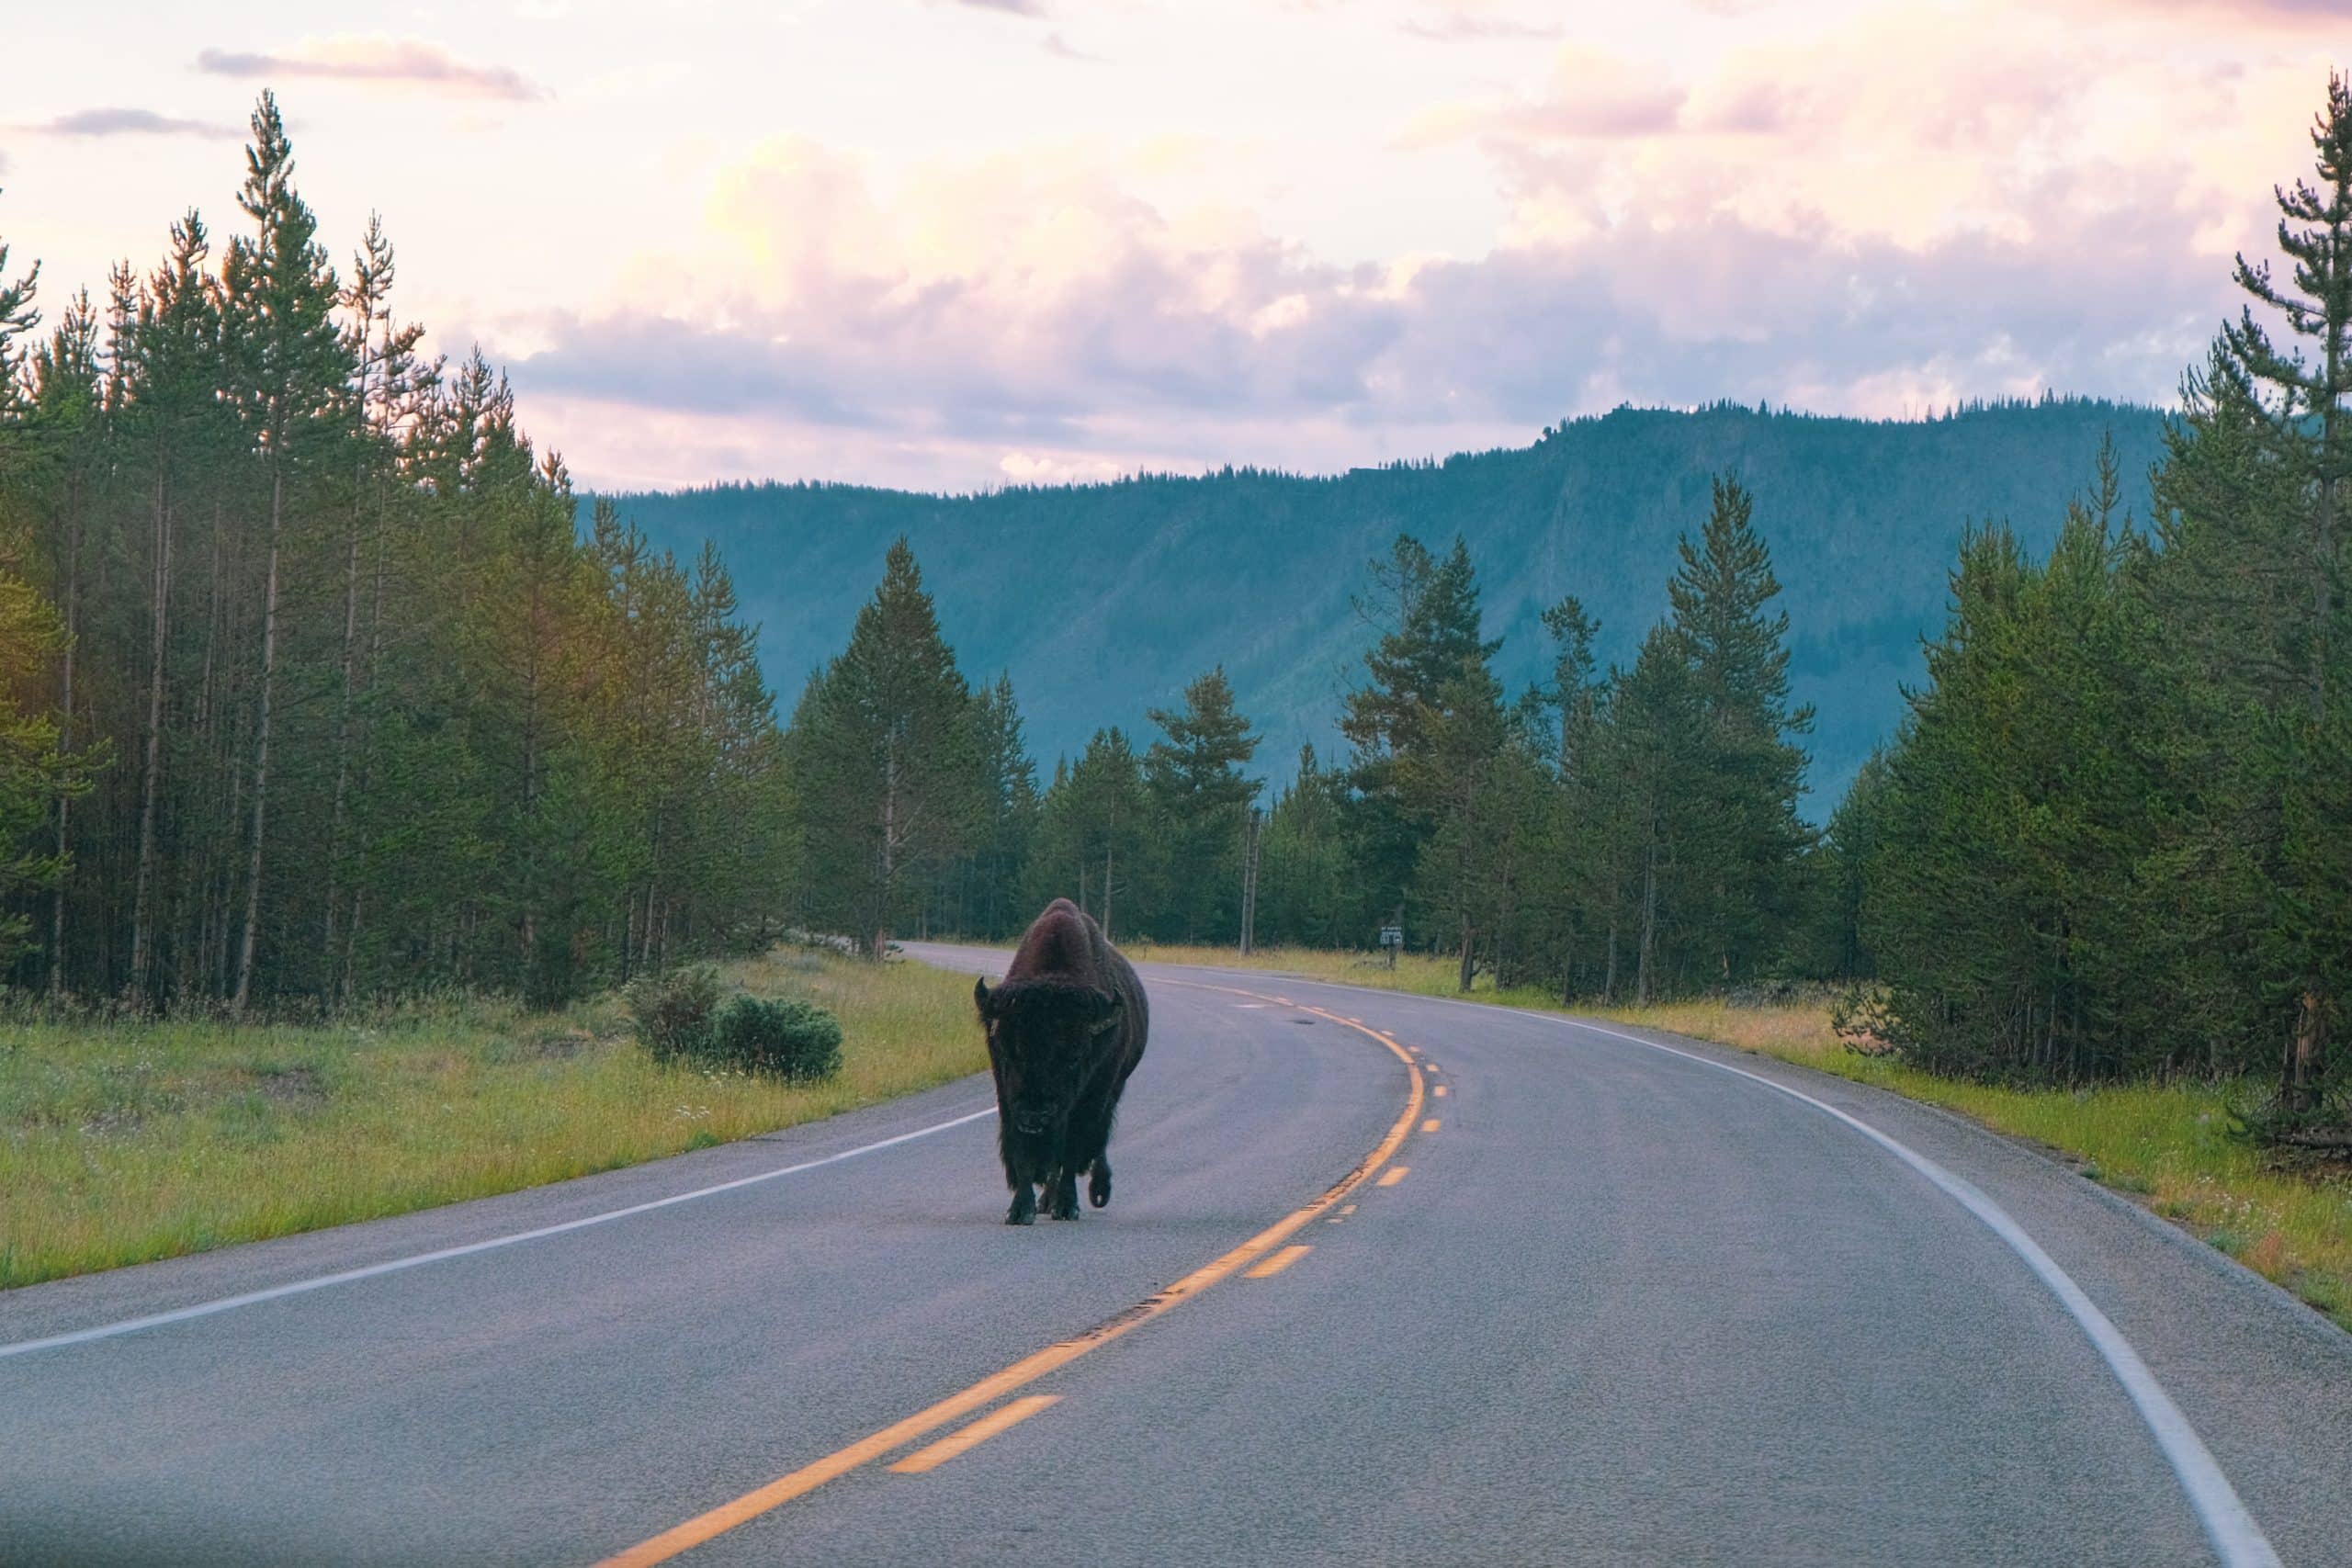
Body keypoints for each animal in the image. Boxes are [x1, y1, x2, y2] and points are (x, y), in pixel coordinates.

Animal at [973, 893, 1148, 1222]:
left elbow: (1072, 1149)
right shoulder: (1008, 1100)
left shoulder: (1089, 1100)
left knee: (1096, 1142)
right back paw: (1046, 1201)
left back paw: (1095, 1192)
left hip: (1113, 1089)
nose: (1035, 1114)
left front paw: (1067, 1206)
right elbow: (1022, 1153)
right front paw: (1020, 1210)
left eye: (1074, 1057)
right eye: (1006, 1051)